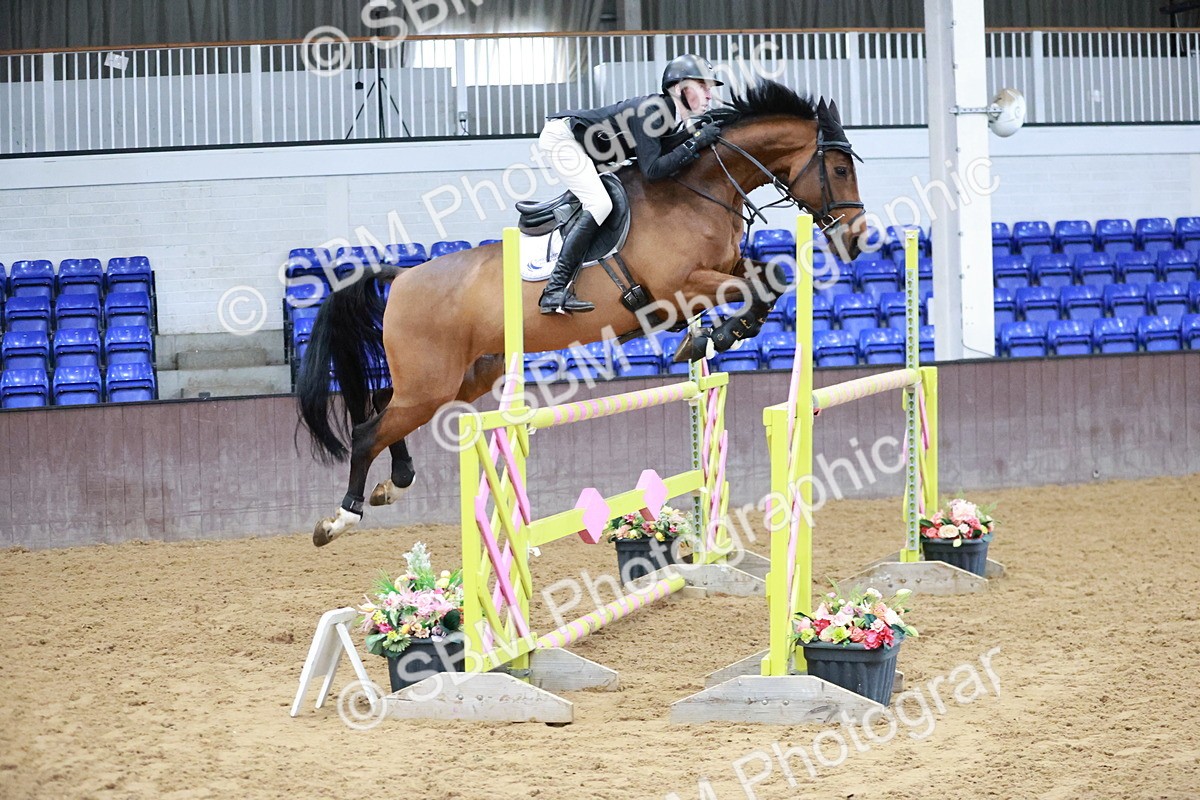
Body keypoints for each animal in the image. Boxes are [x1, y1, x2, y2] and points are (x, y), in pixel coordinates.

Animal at [297, 80, 868, 546]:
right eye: (840, 169)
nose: (856, 240)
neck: (700, 189)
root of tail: (403, 276)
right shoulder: (681, 286)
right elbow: (757, 285)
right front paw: (716, 334)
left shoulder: (721, 271)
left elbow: (770, 278)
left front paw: (719, 334)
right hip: (431, 381)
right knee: (368, 430)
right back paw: (340, 518)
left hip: (461, 377)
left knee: (381, 406)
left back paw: (394, 484)